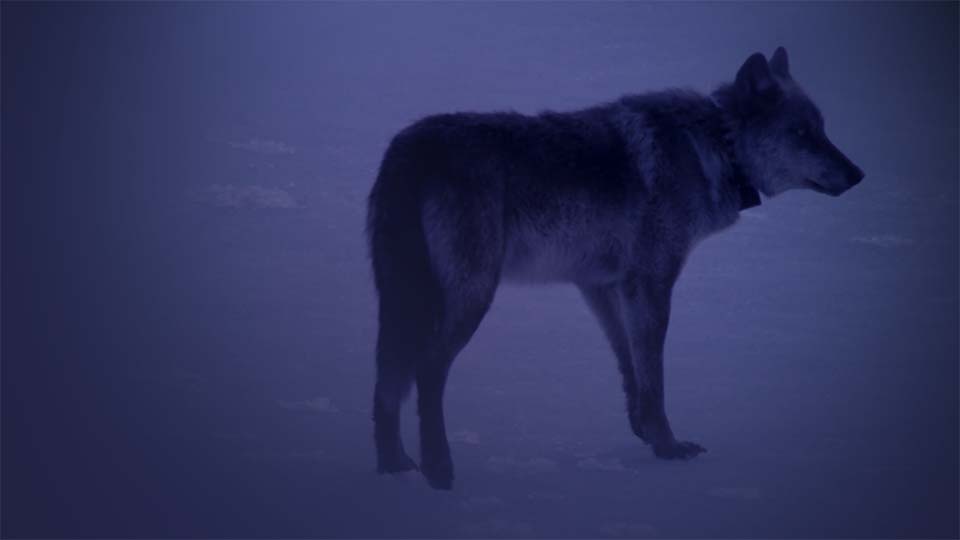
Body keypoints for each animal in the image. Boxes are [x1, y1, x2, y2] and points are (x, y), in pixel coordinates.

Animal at [366, 48, 864, 490]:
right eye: (801, 132)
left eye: (823, 130)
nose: (859, 174)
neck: (714, 145)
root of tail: (407, 150)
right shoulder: (652, 284)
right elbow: (654, 377)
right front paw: (669, 448)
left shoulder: (603, 286)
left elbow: (631, 367)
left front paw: (646, 433)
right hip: (470, 299)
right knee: (426, 372)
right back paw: (438, 471)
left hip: (401, 302)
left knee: (386, 379)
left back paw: (394, 467)